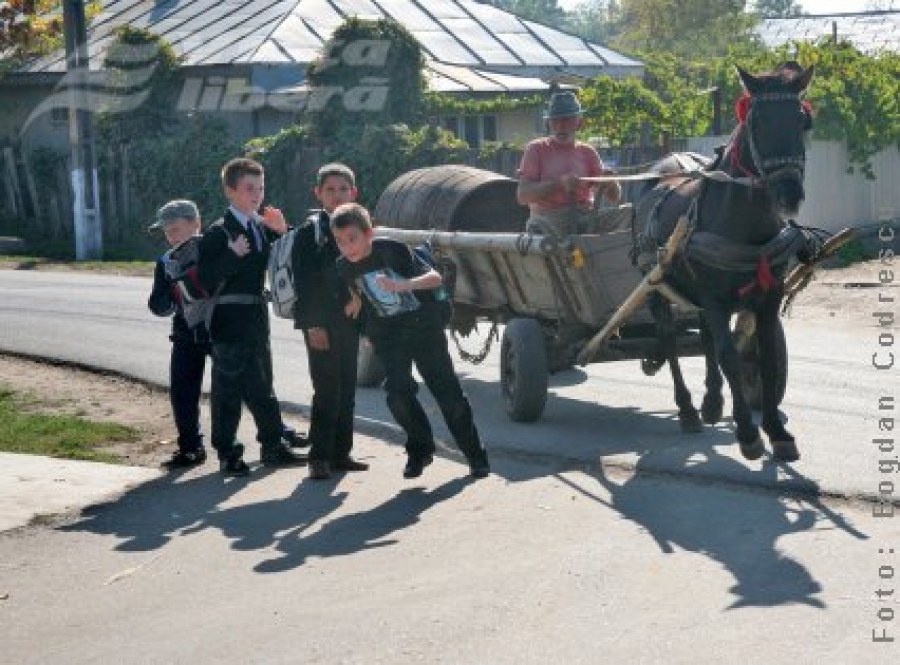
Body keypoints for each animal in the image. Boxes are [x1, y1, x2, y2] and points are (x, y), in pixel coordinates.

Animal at [632, 62, 816, 462]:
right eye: (757, 122)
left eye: (803, 120)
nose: (789, 194)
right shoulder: (716, 299)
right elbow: (729, 354)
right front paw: (748, 433)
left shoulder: (768, 297)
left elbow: (764, 356)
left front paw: (776, 430)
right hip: (656, 285)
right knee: (670, 339)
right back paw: (687, 409)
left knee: (704, 336)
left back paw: (713, 401)